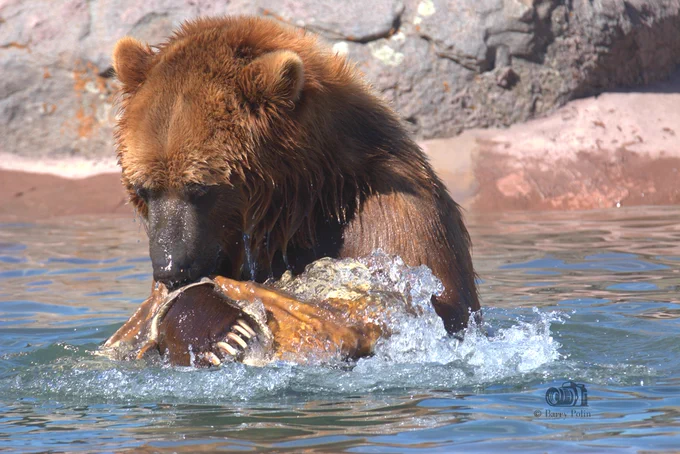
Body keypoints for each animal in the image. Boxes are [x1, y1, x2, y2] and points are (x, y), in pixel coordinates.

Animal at [108, 16, 480, 364]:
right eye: (144, 189)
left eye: (199, 188)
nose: (170, 268)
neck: (306, 198)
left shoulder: (391, 217)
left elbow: (381, 306)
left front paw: (222, 329)